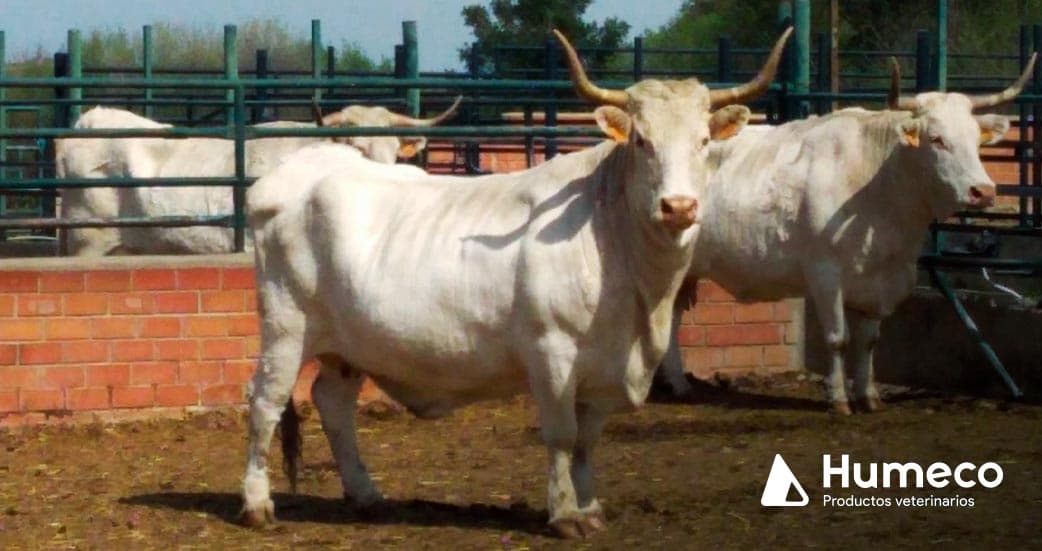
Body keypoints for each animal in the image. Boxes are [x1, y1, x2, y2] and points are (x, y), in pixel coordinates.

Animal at [238, 28, 792, 539]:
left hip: (349, 343)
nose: (678, 207)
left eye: (703, 142)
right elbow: (563, 436)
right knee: (265, 402)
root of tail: (297, 171)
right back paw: (257, 504)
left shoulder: (604, 367)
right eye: (641, 140)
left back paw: (365, 494)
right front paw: (565, 514)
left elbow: (588, 440)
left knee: (333, 404)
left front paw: (591, 507)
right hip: (286, 327)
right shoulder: (551, 353)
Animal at [657, 55, 1037, 415]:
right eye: (937, 139)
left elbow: (868, 341)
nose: (983, 191)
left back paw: (677, 383)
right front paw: (838, 398)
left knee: (670, 317)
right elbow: (838, 338)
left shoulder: (881, 280)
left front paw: (869, 395)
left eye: (975, 140)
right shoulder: (825, 273)